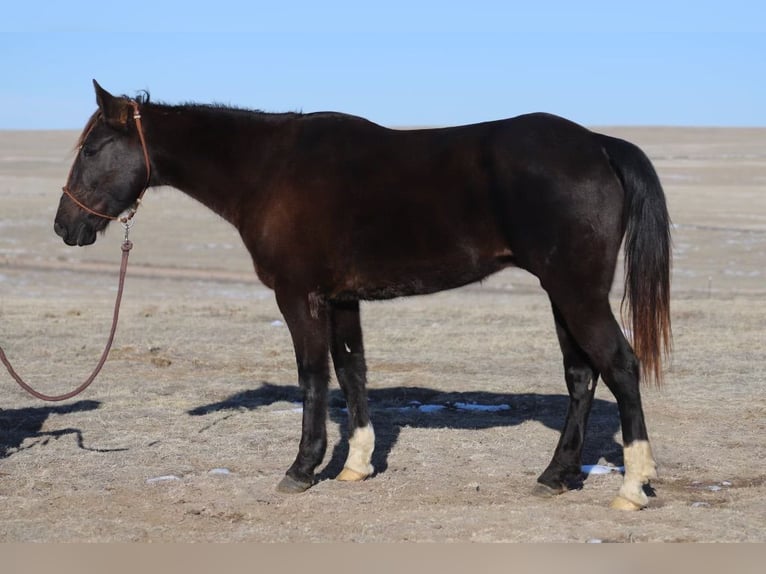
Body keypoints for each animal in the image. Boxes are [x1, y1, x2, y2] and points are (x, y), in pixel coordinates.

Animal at [55, 80, 672, 508]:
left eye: (90, 150)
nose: (65, 226)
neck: (269, 170)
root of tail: (598, 145)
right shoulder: (341, 299)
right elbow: (352, 370)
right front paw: (355, 464)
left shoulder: (298, 296)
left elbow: (313, 377)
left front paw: (302, 468)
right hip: (561, 292)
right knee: (581, 375)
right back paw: (557, 475)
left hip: (576, 290)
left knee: (620, 365)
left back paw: (634, 485)